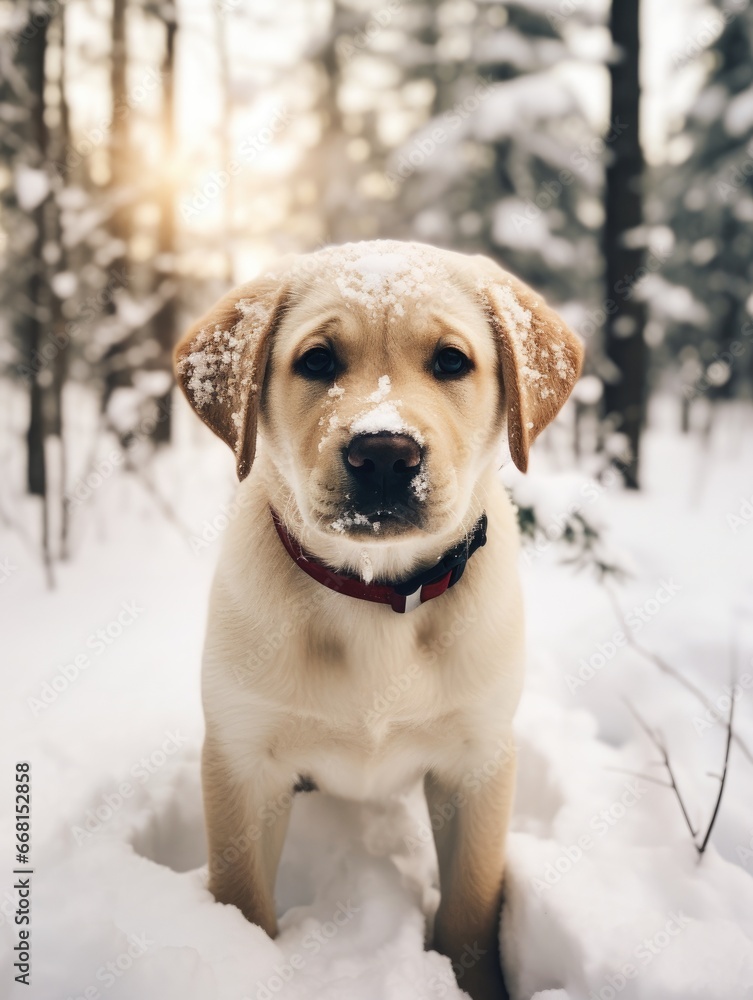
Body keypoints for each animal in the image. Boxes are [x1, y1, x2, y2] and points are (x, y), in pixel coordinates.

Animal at [175, 242, 580, 1000]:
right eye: (316, 361)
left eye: (451, 361)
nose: (385, 454)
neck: (376, 597)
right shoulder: (243, 758)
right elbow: (242, 894)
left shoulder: (478, 759)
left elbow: (470, 904)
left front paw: (472, 980)